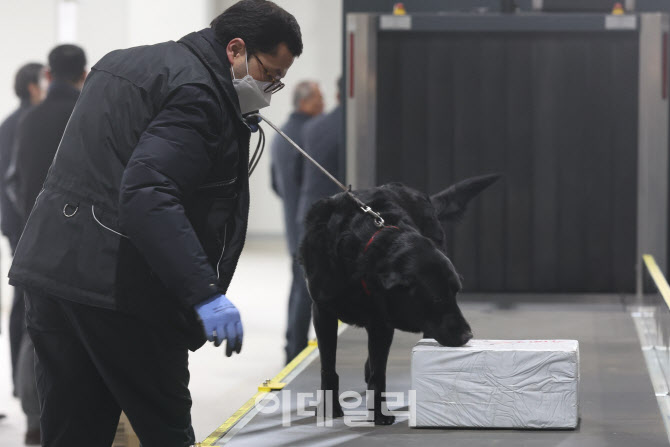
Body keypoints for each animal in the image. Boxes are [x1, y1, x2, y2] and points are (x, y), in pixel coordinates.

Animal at [302, 173, 502, 426]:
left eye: (456, 293)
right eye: (437, 298)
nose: (468, 336)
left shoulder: (381, 321)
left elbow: (379, 374)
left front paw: (379, 414)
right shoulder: (323, 312)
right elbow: (328, 366)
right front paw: (329, 409)